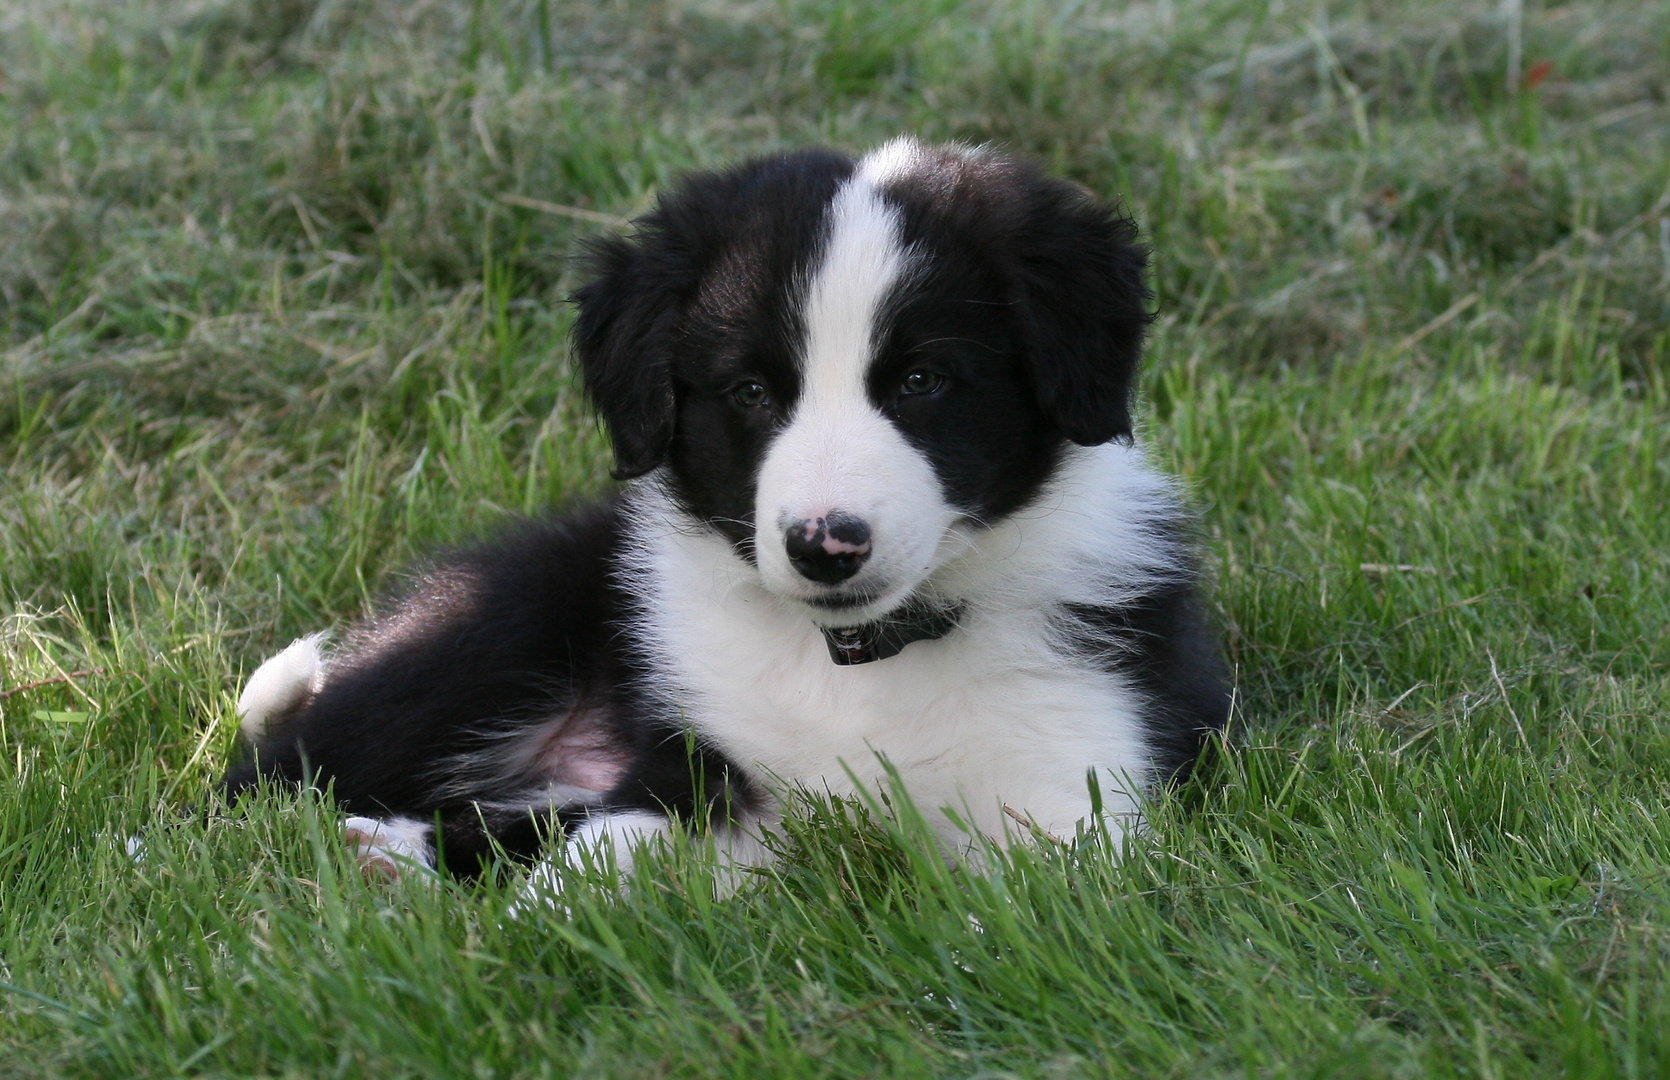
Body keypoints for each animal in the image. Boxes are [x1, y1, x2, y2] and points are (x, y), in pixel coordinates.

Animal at [225, 139, 1229, 901]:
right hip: (490, 634)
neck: (860, 661)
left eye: (922, 380)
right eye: (749, 391)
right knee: (264, 784)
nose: (826, 545)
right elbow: (590, 872)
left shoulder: (1079, 787)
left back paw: (391, 857)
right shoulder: (695, 764)